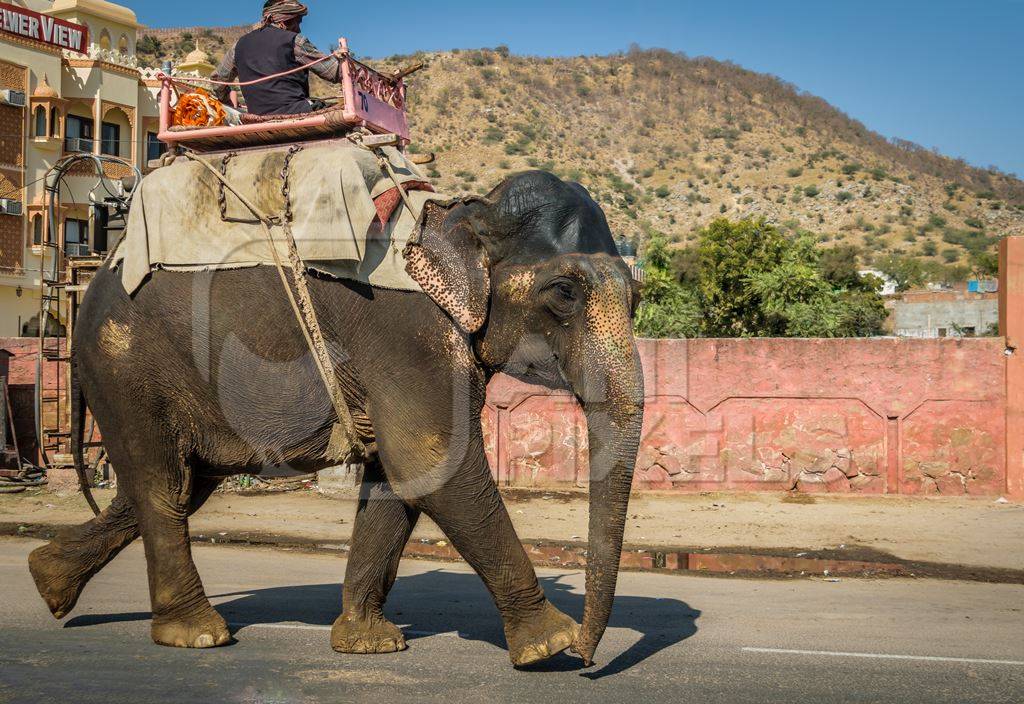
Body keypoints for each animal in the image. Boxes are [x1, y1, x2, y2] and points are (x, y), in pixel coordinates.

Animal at [28, 168, 643, 667]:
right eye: (564, 292)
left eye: (636, 299)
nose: (590, 658)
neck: (463, 213)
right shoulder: (408, 334)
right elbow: (431, 463)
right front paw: (549, 645)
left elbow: (398, 478)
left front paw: (369, 644)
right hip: (124, 362)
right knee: (163, 486)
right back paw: (197, 635)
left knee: (178, 484)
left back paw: (48, 579)